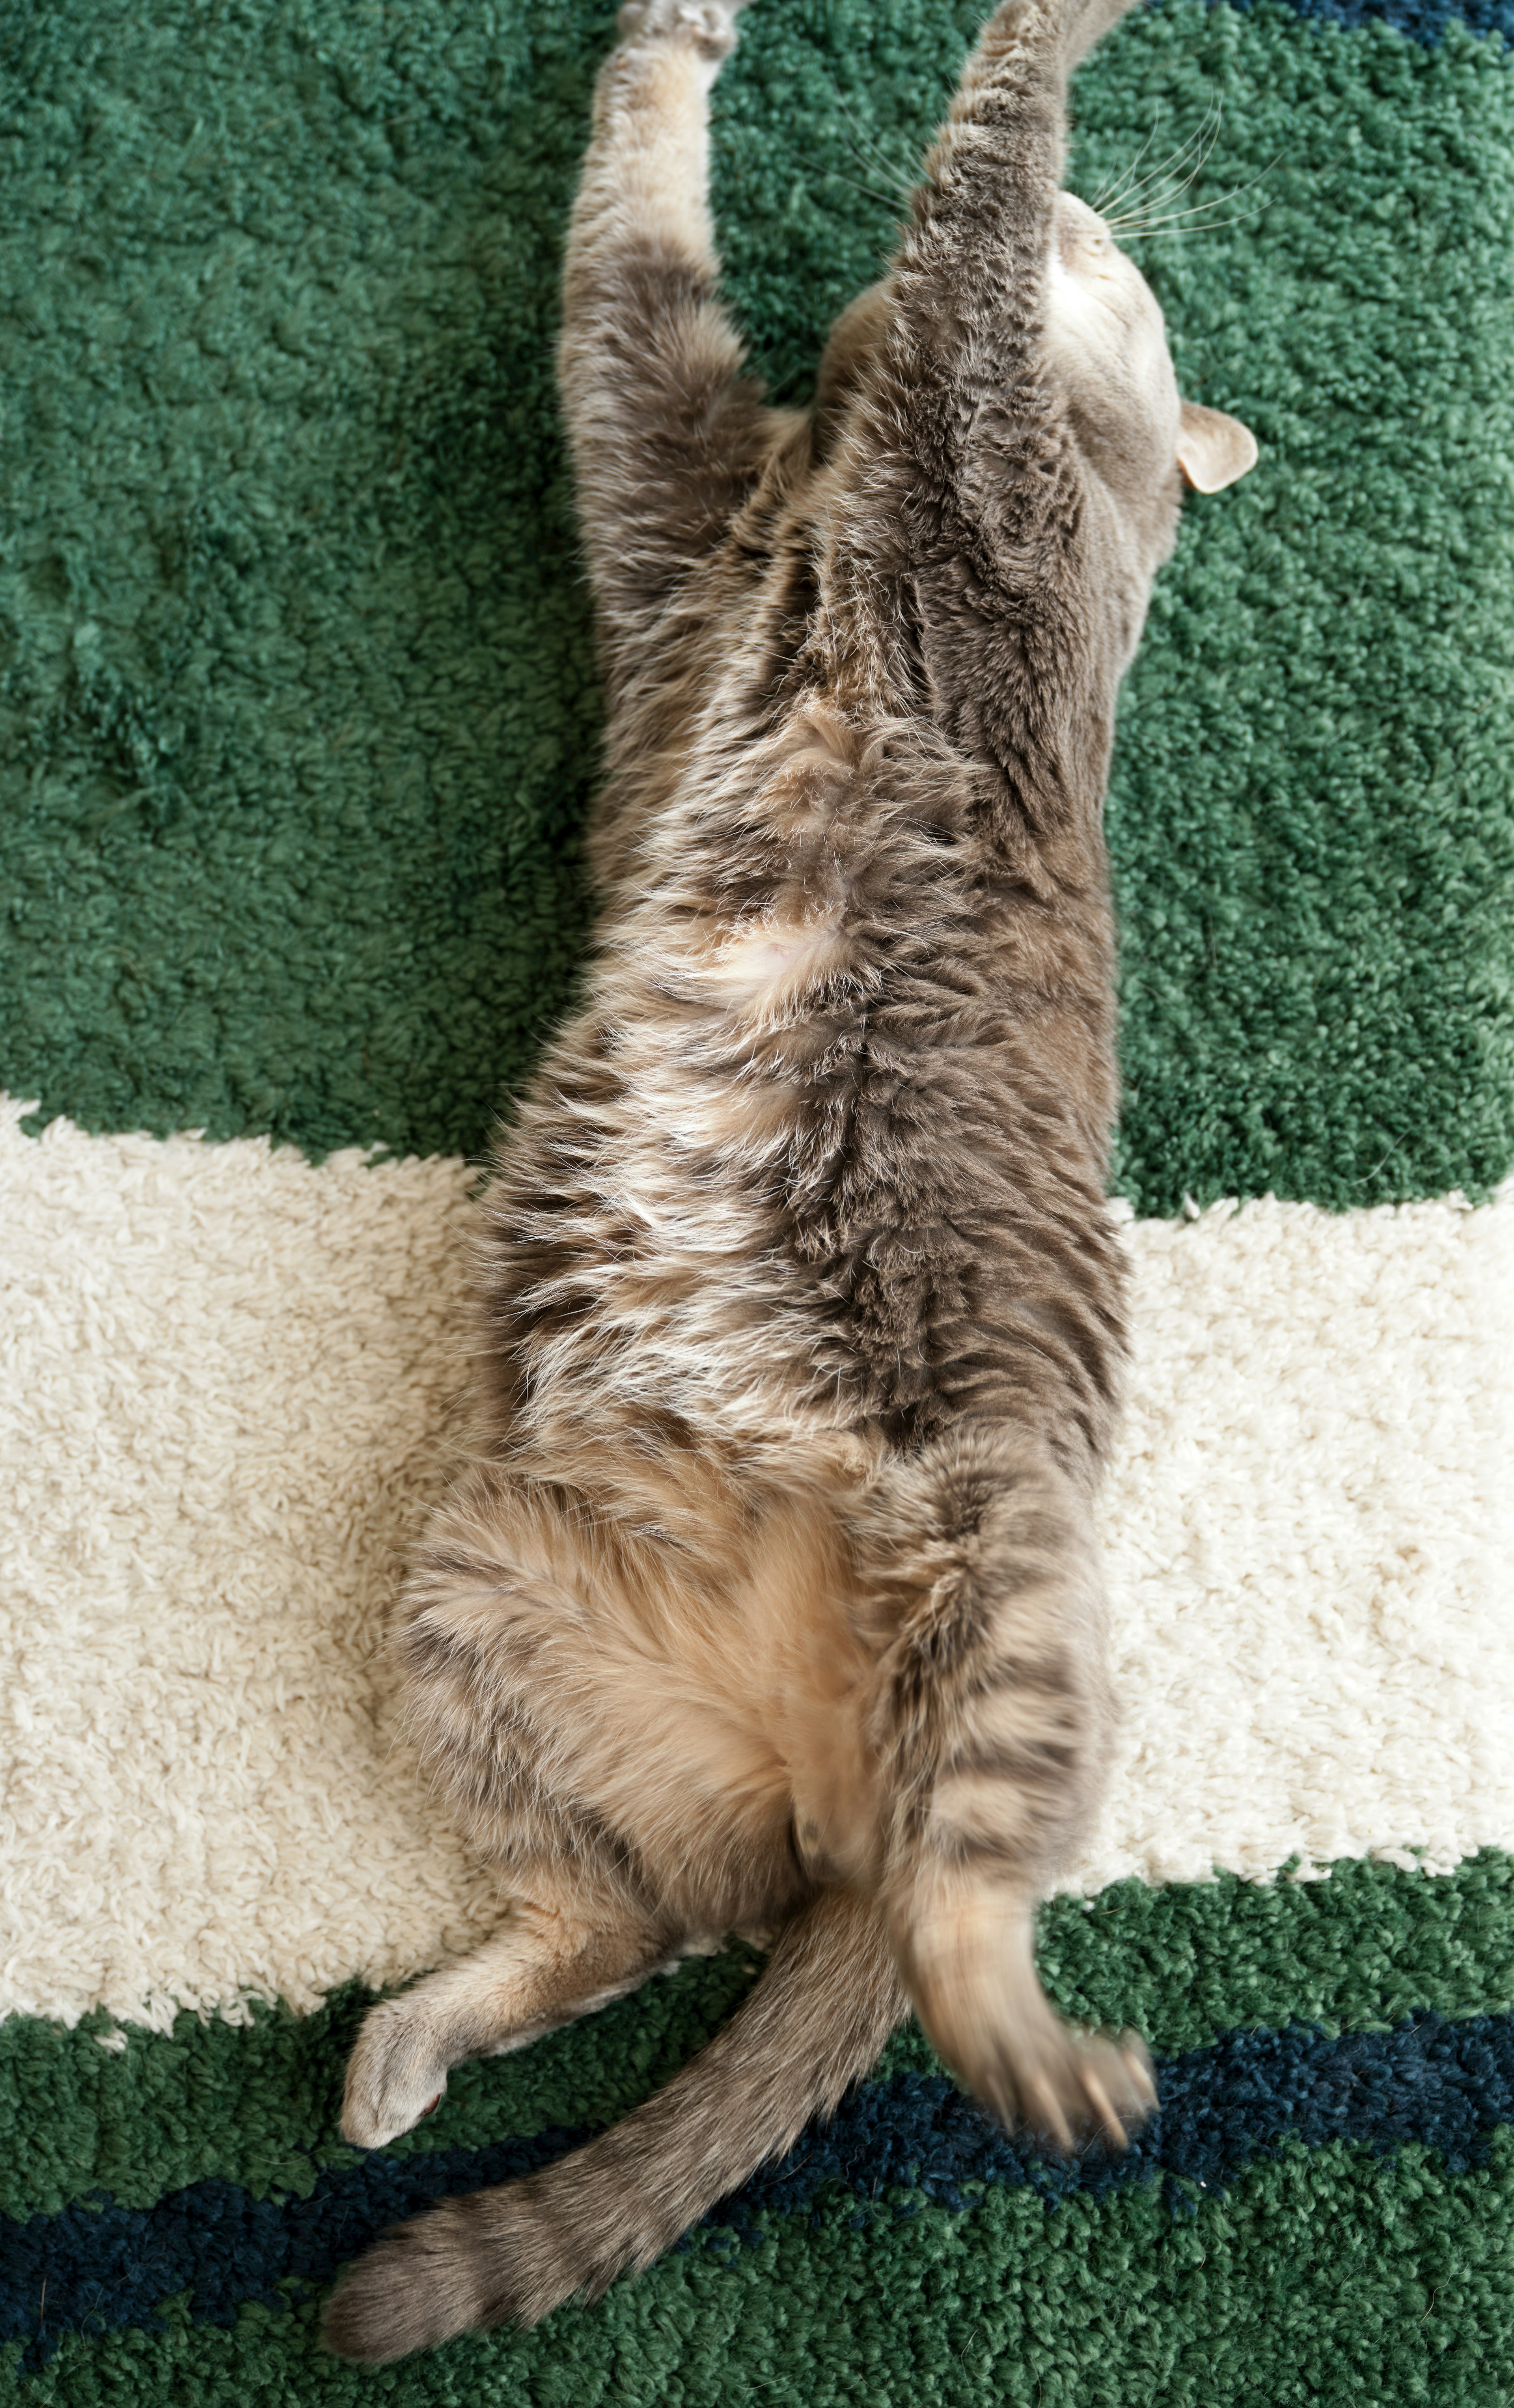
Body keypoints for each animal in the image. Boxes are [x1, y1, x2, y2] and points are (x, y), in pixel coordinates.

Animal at [325, 0, 1261, 2369]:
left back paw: (1040, 2050)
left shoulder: (947, 432)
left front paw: (1052, 43)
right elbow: (646, 236)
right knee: (645, 1918)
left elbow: (967, 167)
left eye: (1129, 276)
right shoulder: (681, 498)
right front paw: (682, 38)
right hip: (489, 1601)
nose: (1116, 224)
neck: (832, 491)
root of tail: (827, 1773)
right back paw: (417, 2041)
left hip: (993, 1565)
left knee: (953, 1898)